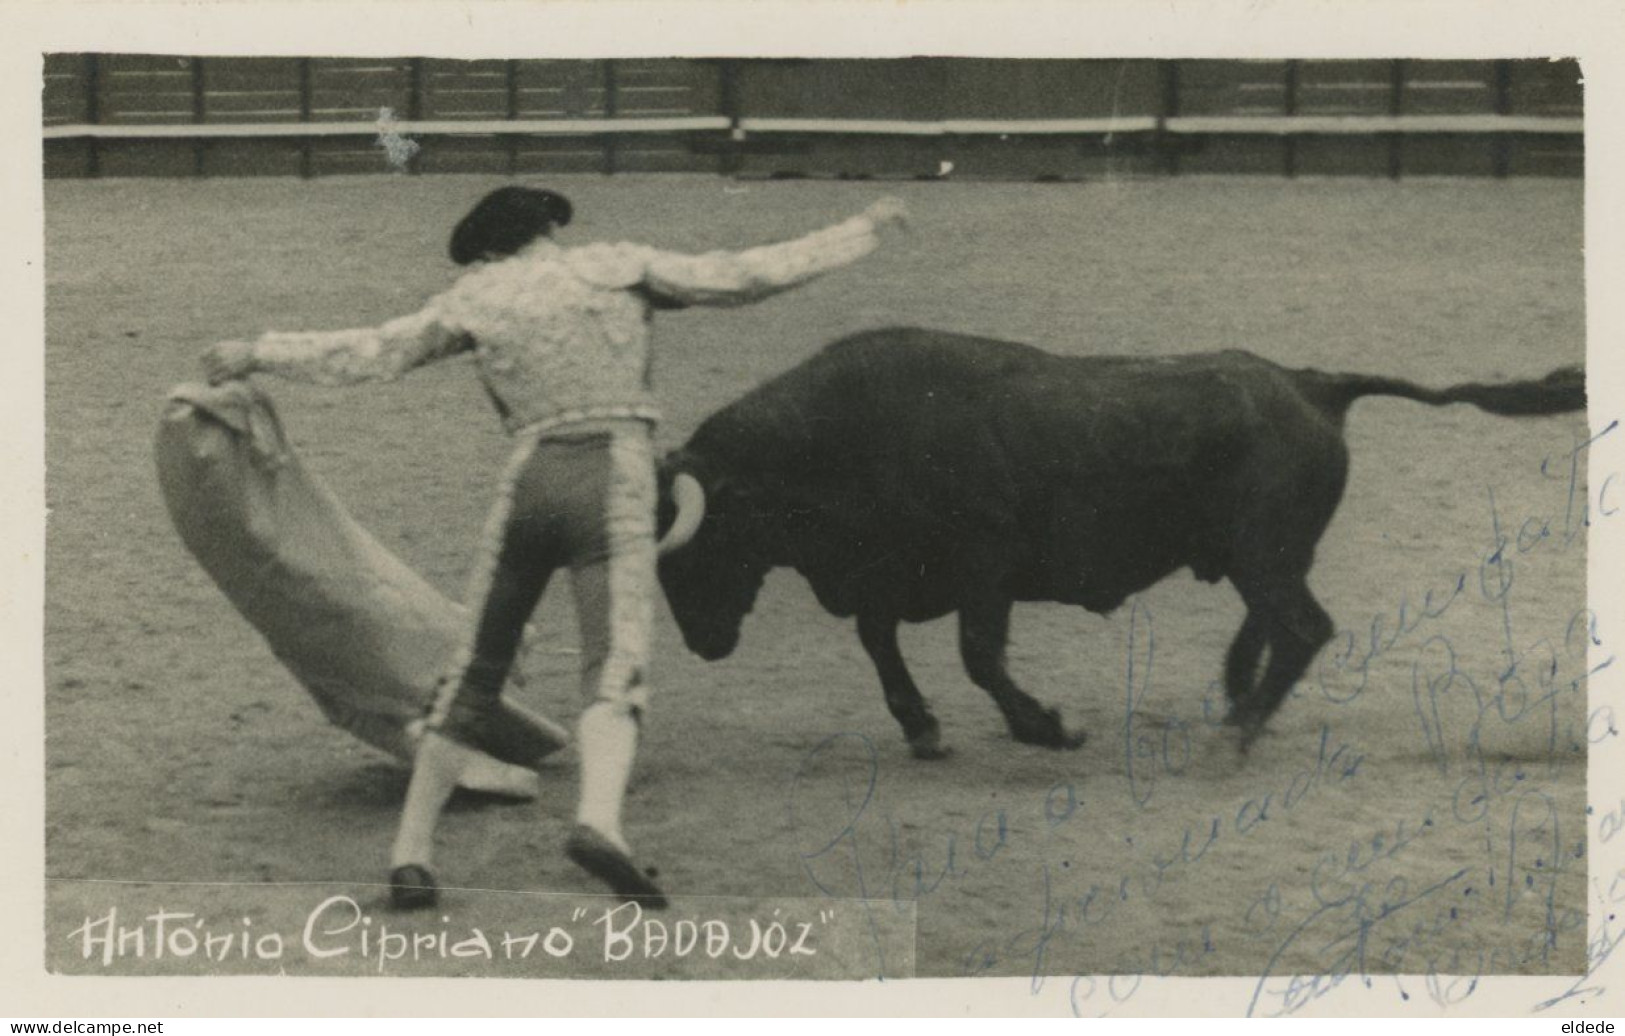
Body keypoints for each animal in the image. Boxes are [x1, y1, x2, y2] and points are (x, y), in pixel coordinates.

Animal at [650, 328, 1586, 759]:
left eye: (699, 543)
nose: (699, 643)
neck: (849, 432)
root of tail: (1308, 383)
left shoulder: (982, 570)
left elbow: (978, 656)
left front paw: (1047, 727)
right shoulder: (887, 583)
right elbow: (881, 646)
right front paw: (924, 731)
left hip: (1262, 553)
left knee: (1303, 628)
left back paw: (1237, 731)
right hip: (1257, 557)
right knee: (1276, 623)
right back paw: (1235, 700)